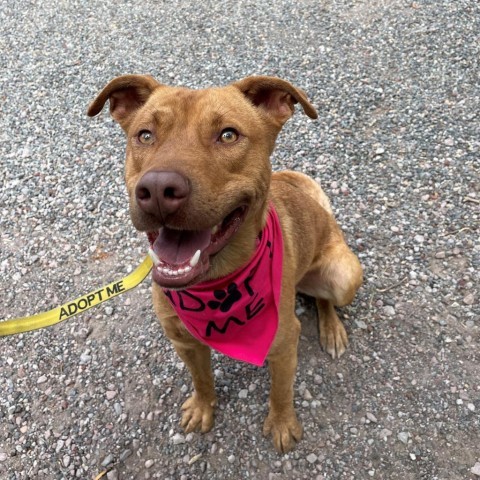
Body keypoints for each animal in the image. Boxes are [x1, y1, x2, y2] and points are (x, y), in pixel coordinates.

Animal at [88, 75, 362, 454]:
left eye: (228, 135)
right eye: (145, 135)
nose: (157, 190)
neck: (216, 282)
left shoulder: (283, 344)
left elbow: (281, 392)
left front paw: (282, 424)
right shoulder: (185, 342)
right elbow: (202, 379)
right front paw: (203, 408)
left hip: (343, 275)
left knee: (325, 298)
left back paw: (332, 329)